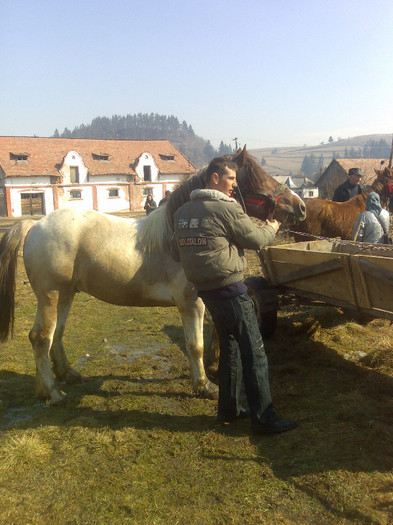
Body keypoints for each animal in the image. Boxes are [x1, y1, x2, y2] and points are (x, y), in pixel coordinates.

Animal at [0, 145, 304, 404]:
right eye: (255, 176)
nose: (300, 206)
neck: (176, 232)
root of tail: (35, 225)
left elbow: (217, 332)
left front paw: (214, 369)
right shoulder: (191, 304)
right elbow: (195, 345)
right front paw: (203, 386)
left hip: (65, 295)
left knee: (57, 334)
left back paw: (68, 375)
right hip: (50, 296)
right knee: (41, 337)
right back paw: (51, 392)